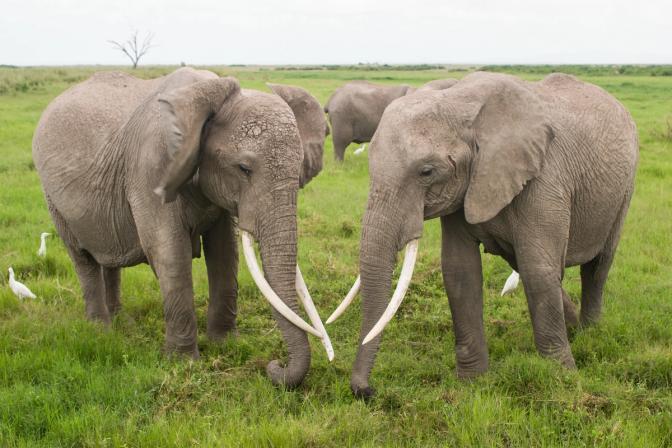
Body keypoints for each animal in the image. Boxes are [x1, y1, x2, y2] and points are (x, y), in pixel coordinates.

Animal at [33, 67, 333, 387]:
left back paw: (120, 321)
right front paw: (183, 362)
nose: (274, 366)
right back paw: (100, 329)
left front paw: (226, 344)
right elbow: (168, 252)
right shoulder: (152, 167)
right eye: (244, 169)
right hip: (53, 198)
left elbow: (225, 253)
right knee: (82, 257)